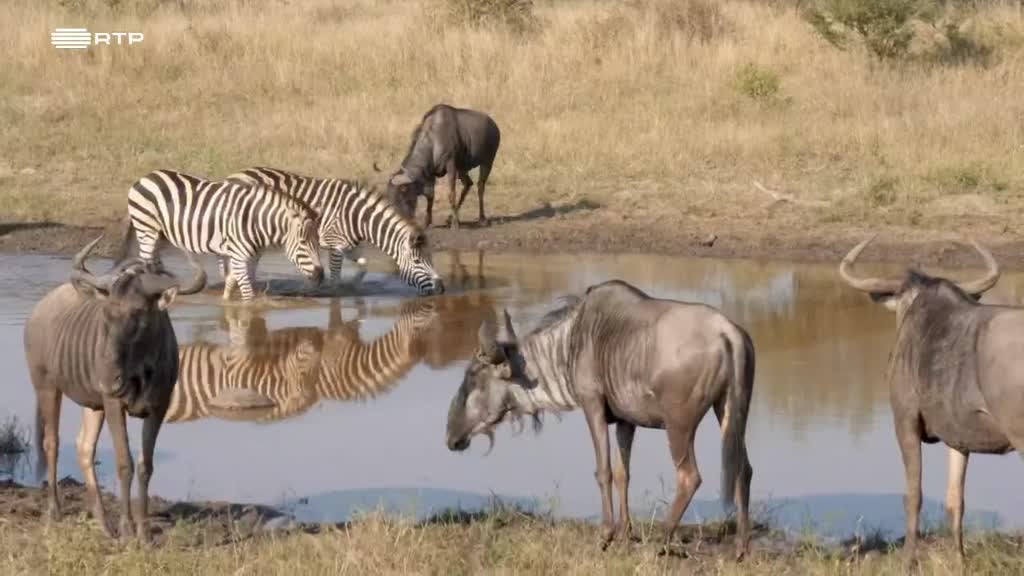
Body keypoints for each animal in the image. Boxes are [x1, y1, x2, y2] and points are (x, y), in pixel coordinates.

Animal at [118, 169, 325, 302]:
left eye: (318, 243)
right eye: (303, 242)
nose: (320, 275)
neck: (255, 221)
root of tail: (146, 177)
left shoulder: (251, 256)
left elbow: (233, 282)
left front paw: (225, 303)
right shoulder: (239, 255)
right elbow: (247, 294)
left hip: (160, 233)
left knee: (155, 262)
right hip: (146, 228)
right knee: (147, 262)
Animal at [225, 166, 445, 296]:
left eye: (431, 259)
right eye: (417, 262)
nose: (441, 289)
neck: (359, 218)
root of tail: (236, 174)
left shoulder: (350, 246)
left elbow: (364, 267)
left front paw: (353, 287)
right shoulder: (335, 245)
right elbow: (335, 278)